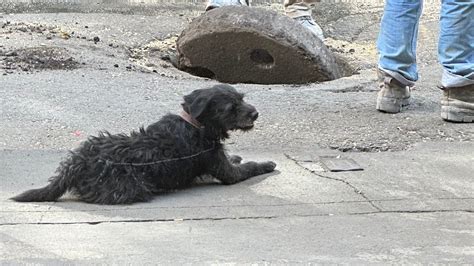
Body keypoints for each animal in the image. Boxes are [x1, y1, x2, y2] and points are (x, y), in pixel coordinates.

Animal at [12, 84, 276, 205]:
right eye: (231, 107)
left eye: (242, 98)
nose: (255, 113)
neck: (195, 123)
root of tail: (77, 162)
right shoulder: (224, 171)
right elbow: (249, 167)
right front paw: (267, 163)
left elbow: (236, 160)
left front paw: (237, 156)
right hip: (134, 187)